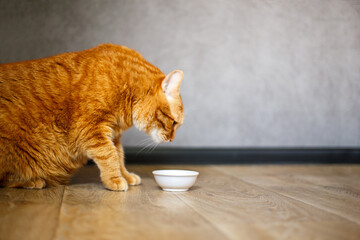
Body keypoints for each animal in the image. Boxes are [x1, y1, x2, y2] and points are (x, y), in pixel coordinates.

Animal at [0, 43, 184, 191]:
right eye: (174, 123)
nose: (172, 140)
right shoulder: (89, 129)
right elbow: (109, 155)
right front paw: (115, 179)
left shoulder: (113, 134)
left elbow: (119, 156)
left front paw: (125, 176)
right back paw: (32, 181)